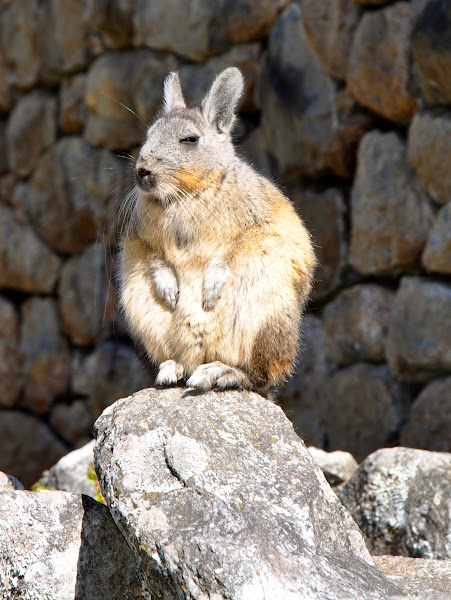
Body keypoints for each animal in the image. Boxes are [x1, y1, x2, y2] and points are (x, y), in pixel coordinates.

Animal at [119, 67, 316, 399]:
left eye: (189, 139)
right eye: (149, 135)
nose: (142, 171)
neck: (184, 196)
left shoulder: (257, 228)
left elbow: (228, 255)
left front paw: (209, 294)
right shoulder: (139, 241)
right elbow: (156, 258)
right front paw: (171, 293)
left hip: (267, 321)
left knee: (261, 379)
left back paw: (218, 373)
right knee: (182, 364)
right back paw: (171, 370)